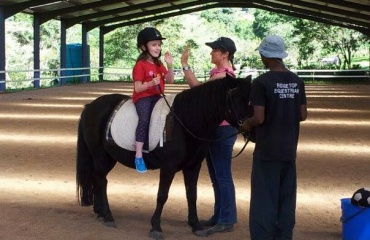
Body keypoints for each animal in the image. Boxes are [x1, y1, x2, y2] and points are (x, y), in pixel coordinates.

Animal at [76, 74, 253, 239]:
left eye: (251, 101)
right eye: (236, 98)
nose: (251, 127)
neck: (184, 122)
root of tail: (90, 106)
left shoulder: (193, 166)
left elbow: (192, 195)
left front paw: (196, 225)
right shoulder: (168, 167)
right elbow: (162, 195)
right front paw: (156, 227)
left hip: (108, 157)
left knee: (98, 180)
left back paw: (100, 213)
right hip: (99, 155)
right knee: (101, 181)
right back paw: (108, 216)